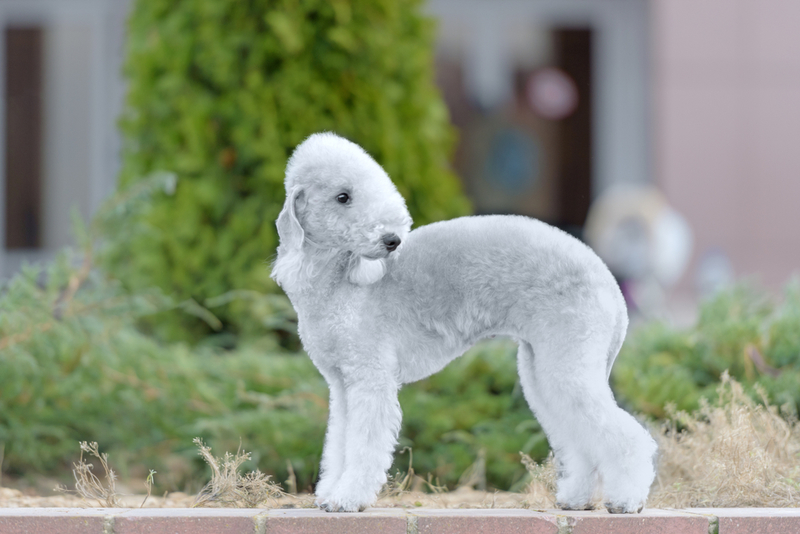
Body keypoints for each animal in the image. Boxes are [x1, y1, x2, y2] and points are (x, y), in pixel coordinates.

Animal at [270, 133, 656, 516]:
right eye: (342, 197)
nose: (392, 240)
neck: (339, 280)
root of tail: (608, 280)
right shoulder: (341, 385)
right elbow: (339, 442)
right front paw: (328, 494)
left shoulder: (369, 378)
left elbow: (363, 444)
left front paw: (347, 499)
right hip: (541, 369)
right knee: (577, 436)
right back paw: (577, 499)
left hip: (569, 359)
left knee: (627, 437)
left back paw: (626, 501)